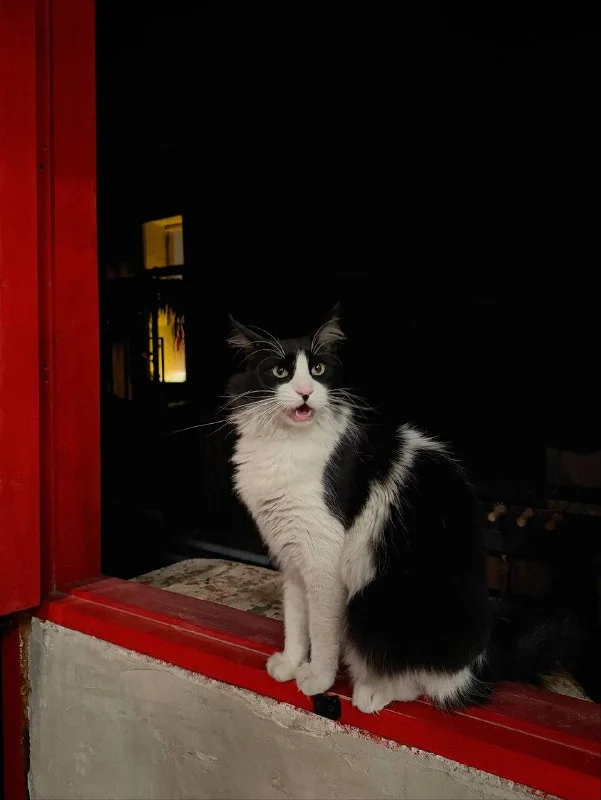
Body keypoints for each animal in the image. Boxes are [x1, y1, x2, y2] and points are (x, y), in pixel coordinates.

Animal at [225, 305, 574, 712]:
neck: (285, 445)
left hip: (375, 605)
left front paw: (317, 678)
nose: (306, 392)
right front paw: (291, 664)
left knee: (422, 684)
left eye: (319, 370)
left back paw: (371, 692)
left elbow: (322, 632)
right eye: (280, 372)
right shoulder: (293, 557)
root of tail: (479, 662)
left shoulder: (323, 562)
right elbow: (296, 621)